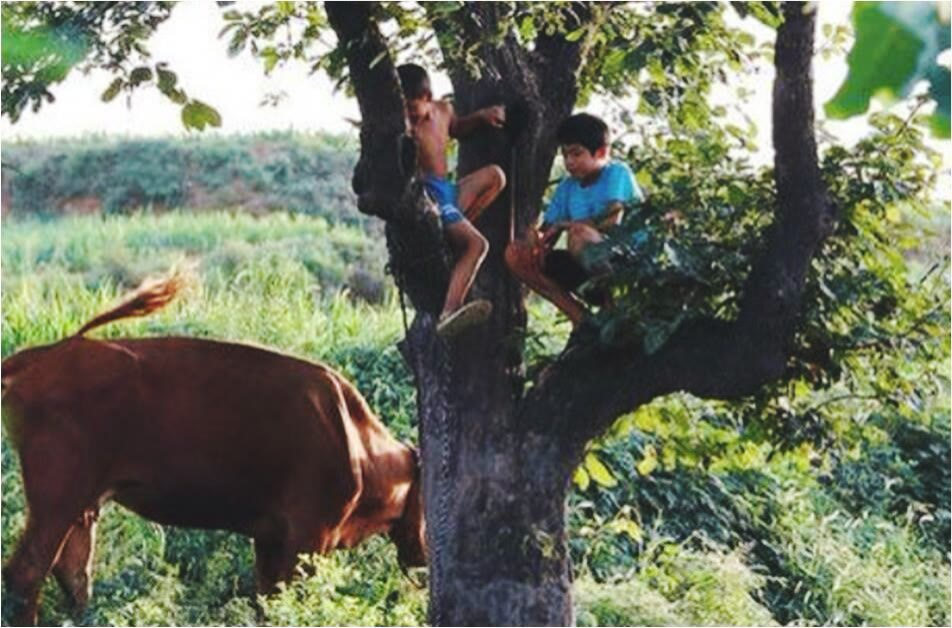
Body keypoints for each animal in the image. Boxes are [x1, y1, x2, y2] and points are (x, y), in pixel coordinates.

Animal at [0, 278, 424, 624]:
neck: (357, 442)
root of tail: (40, 356)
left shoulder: (270, 539)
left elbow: (265, 602)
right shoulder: (308, 537)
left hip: (81, 507)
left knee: (73, 577)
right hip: (57, 499)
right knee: (26, 574)